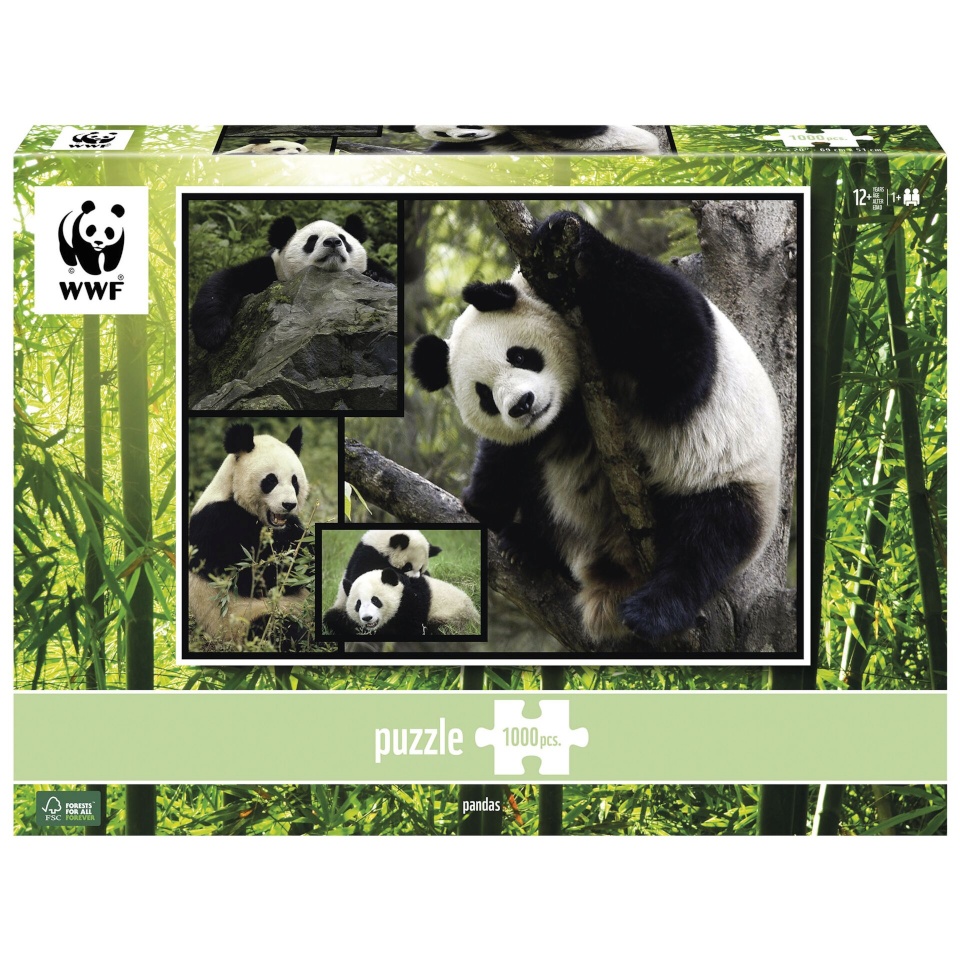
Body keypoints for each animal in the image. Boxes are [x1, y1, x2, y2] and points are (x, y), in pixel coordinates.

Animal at [188, 423, 313, 651]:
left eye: (295, 481)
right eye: (271, 480)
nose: (289, 504)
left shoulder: (290, 526)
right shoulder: (215, 524)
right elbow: (251, 576)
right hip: (240, 623)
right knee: (277, 629)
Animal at [190, 212, 396, 352]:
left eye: (343, 239)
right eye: (312, 240)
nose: (332, 242)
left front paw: (376, 276)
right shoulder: (270, 270)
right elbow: (225, 281)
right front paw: (212, 335)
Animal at [322, 567, 479, 638]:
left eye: (375, 600)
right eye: (358, 604)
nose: (367, 618)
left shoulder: (413, 604)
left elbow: (406, 630)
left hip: (454, 617)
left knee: (440, 630)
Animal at [410, 210, 783, 652]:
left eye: (519, 355)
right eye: (484, 395)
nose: (522, 405)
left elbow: (679, 359)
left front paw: (565, 235)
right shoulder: (546, 425)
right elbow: (507, 456)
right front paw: (484, 502)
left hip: (730, 476)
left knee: (709, 538)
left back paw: (653, 610)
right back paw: (529, 547)